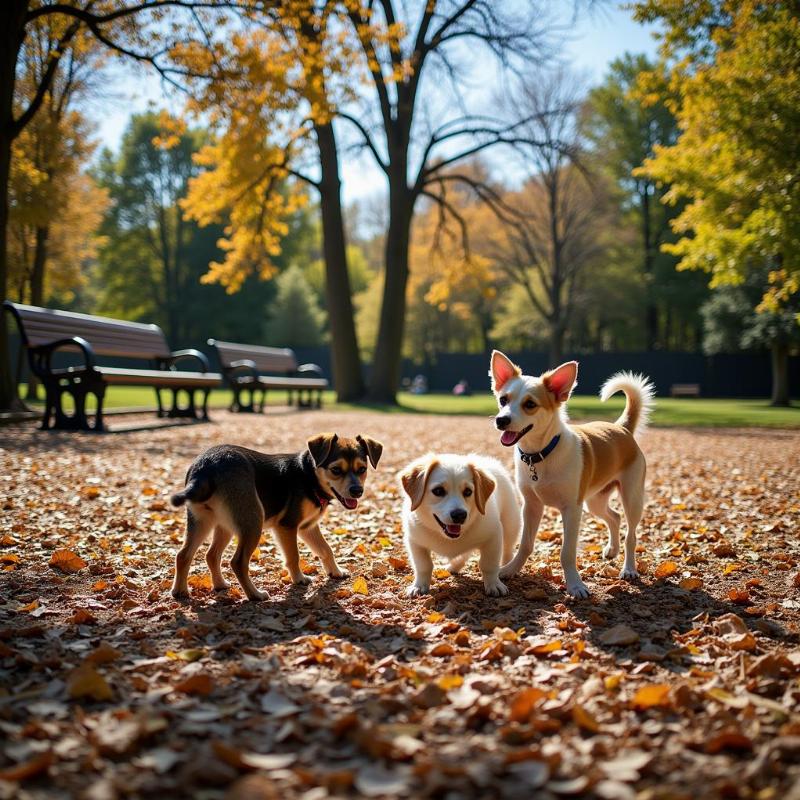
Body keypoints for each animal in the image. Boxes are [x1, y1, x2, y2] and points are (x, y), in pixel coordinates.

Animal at [169, 432, 382, 600]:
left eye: (362, 469)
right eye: (336, 470)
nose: (357, 491)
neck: (308, 475)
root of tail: (205, 468)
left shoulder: (308, 527)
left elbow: (325, 549)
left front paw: (335, 572)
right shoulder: (288, 526)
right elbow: (294, 556)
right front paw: (299, 579)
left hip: (212, 522)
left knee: (192, 555)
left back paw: (187, 590)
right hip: (252, 521)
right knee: (237, 562)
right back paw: (255, 595)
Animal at [398, 454, 520, 596]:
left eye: (468, 492)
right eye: (438, 491)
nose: (460, 515)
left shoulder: (493, 538)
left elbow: (489, 565)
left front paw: (494, 584)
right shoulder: (415, 542)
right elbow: (423, 565)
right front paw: (419, 586)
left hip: (511, 526)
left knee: (507, 550)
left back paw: (506, 567)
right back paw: (453, 567)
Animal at [490, 352, 652, 600]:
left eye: (530, 404)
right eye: (503, 400)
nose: (501, 420)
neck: (541, 454)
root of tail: (621, 428)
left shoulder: (572, 510)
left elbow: (567, 552)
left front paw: (575, 585)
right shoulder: (531, 506)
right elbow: (526, 544)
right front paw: (510, 569)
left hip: (631, 499)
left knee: (631, 535)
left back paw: (629, 568)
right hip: (595, 501)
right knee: (614, 517)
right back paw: (611, 549)